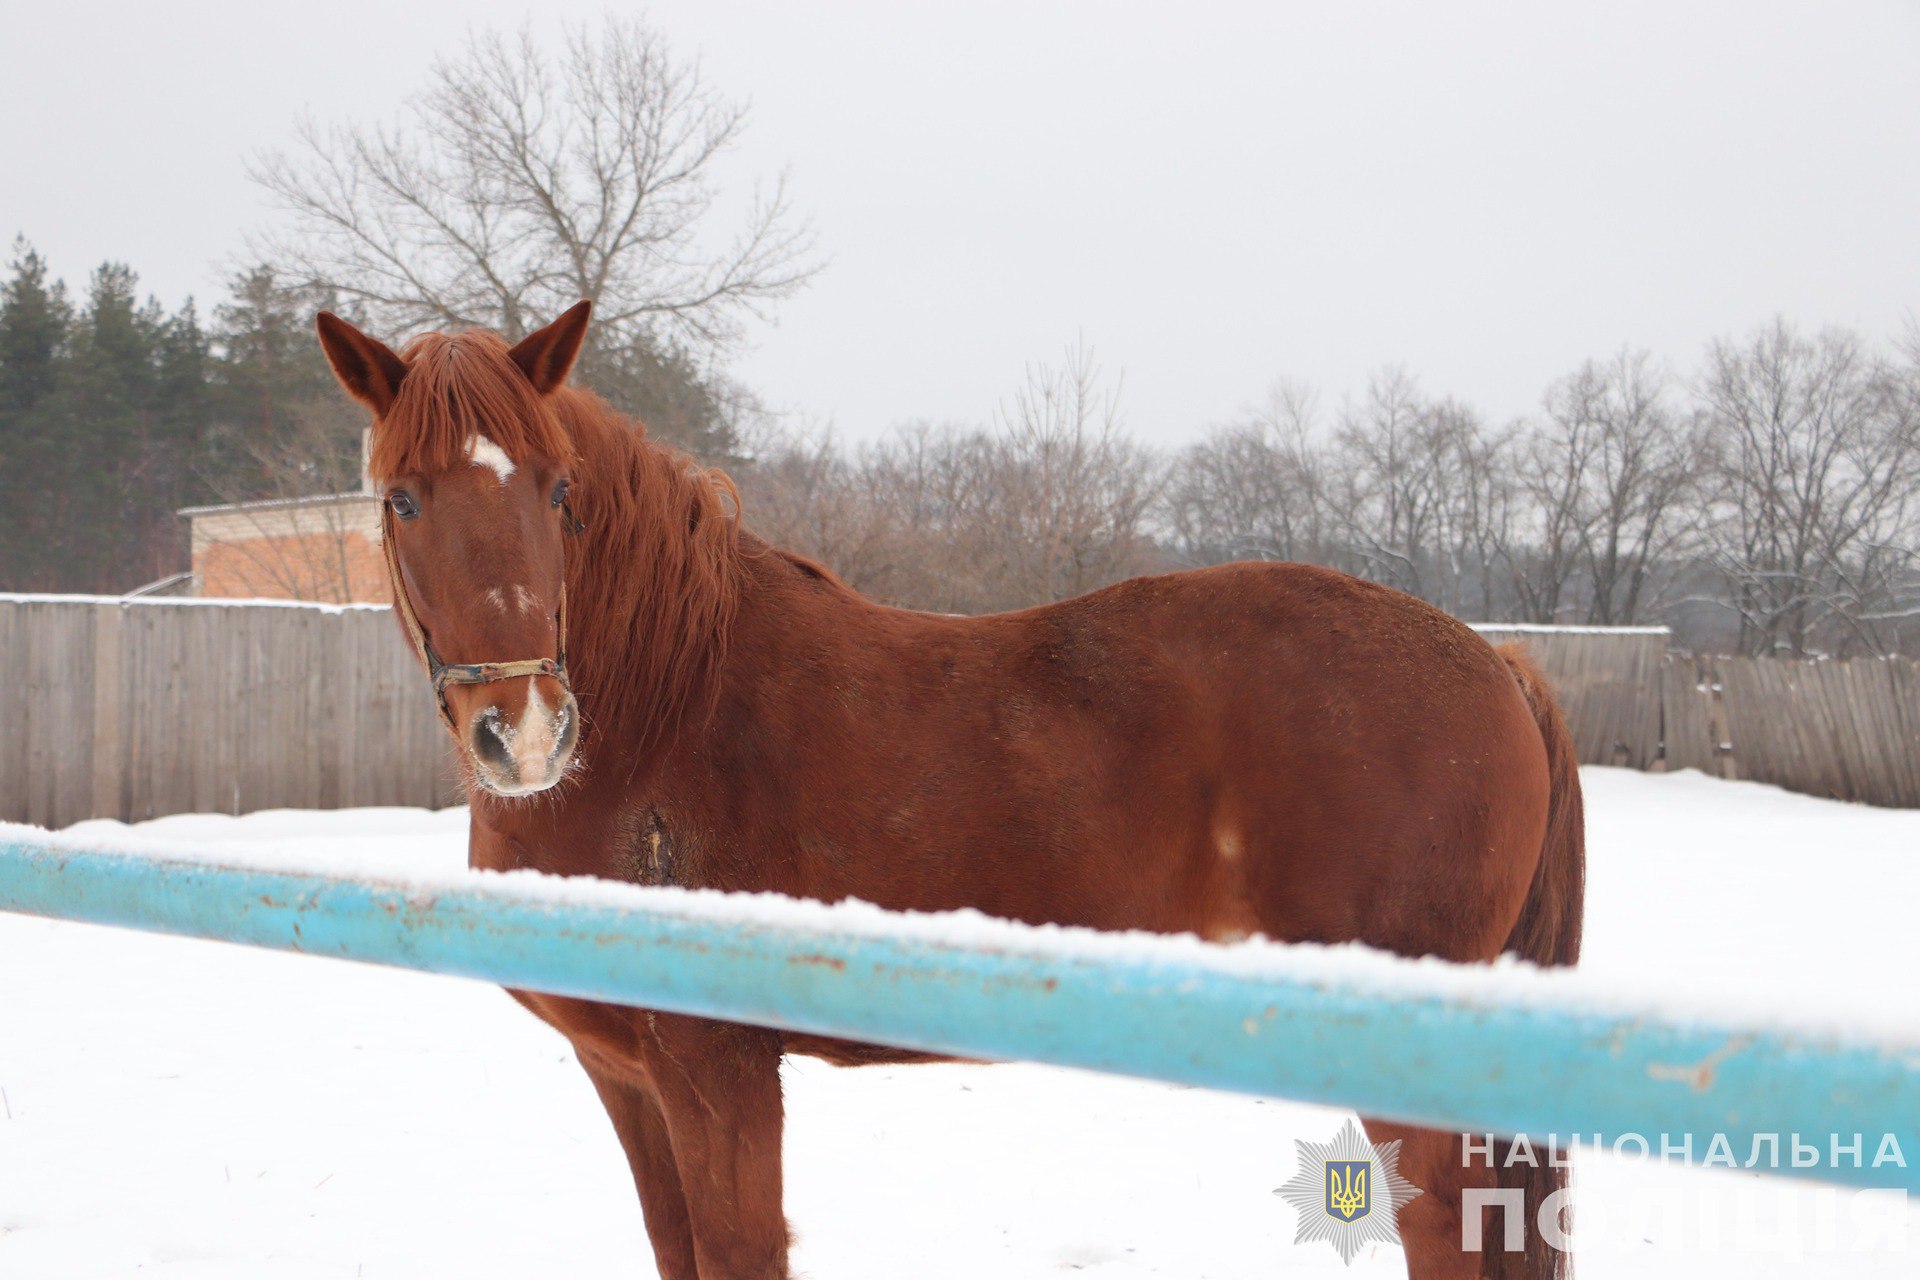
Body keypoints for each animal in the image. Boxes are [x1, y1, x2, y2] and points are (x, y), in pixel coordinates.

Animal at [318, 303, 1589, 1280]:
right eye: (403, 499)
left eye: (557, 488)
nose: (525, 730)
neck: (667, 705)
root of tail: (1499, 663)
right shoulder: (627, 1075)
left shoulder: (717, 1068)